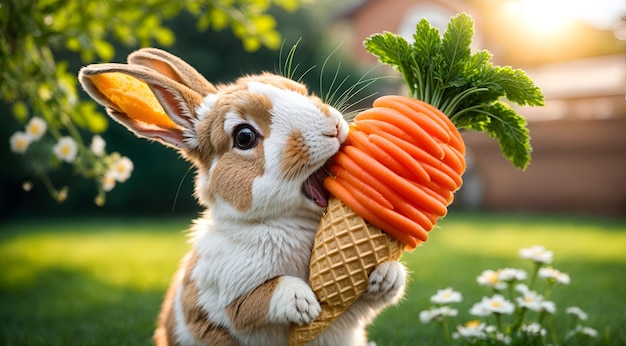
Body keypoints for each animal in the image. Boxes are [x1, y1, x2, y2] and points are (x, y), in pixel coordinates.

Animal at [78, 48, 408, 346]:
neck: (292, 222)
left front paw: (387, 274)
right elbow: (256, 300)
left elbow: (368, 299)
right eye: (244, 137)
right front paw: (303, 302)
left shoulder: (347, 313)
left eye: (300, 92)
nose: (334, 127)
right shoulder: (221, 297)